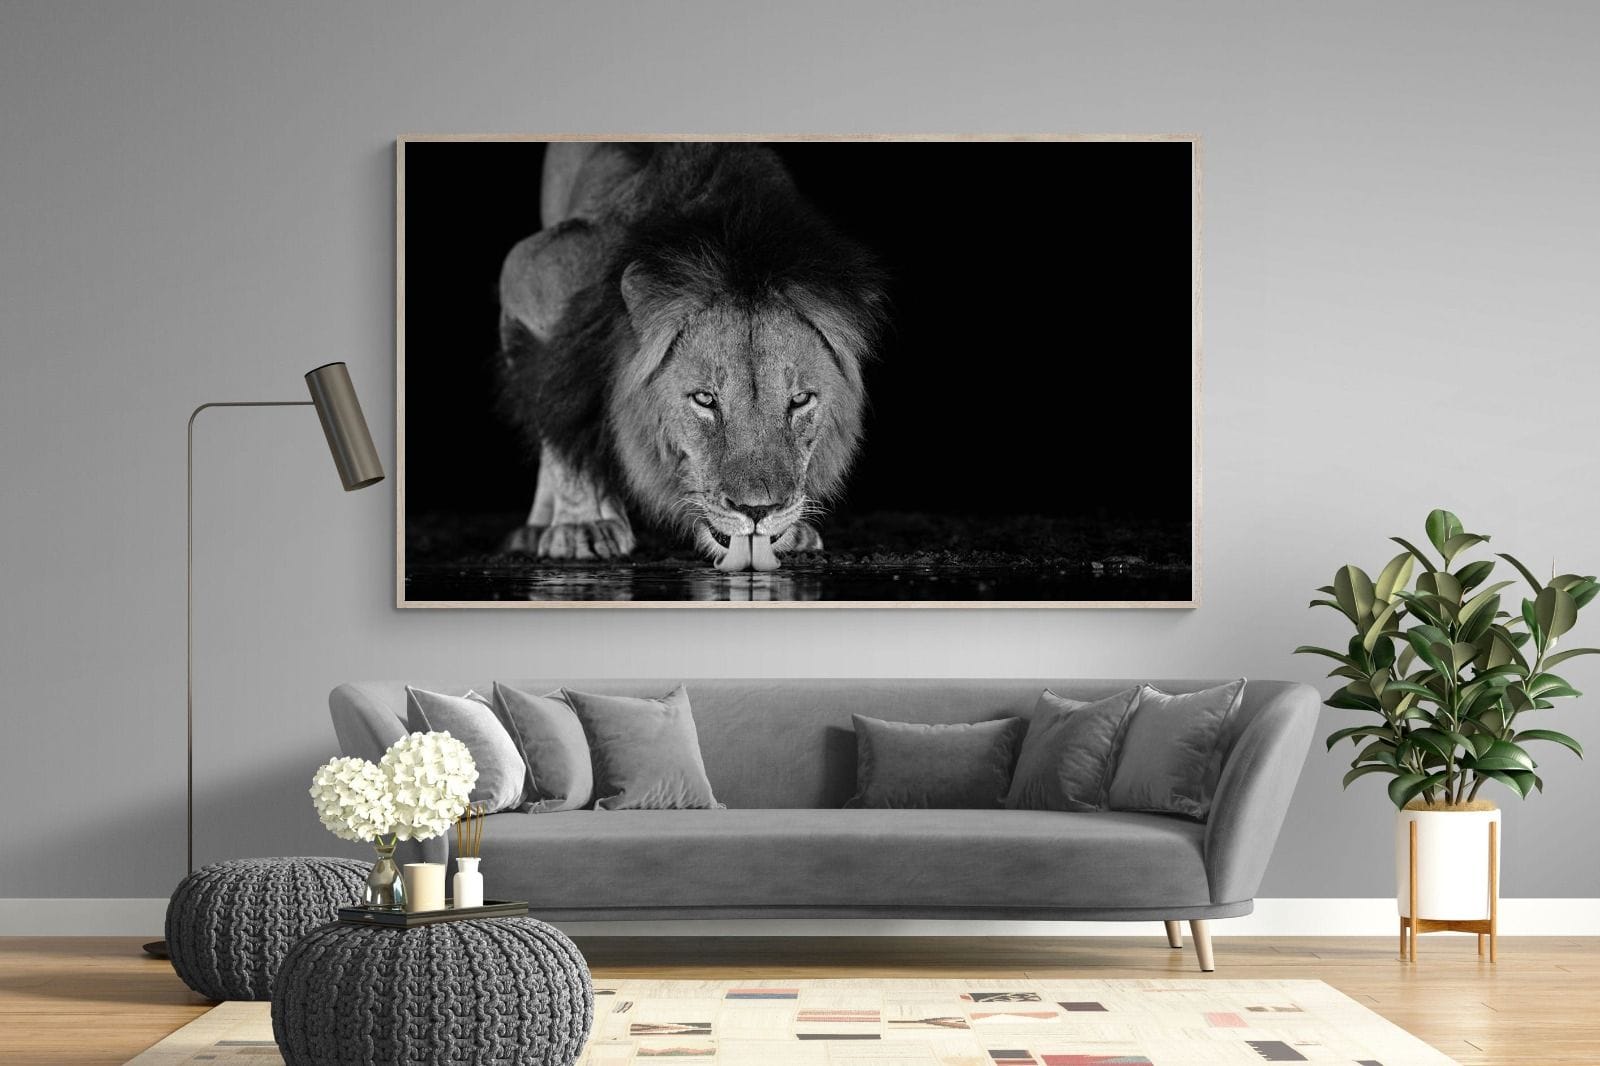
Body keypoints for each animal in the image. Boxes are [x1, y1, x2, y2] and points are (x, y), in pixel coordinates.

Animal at [494, 143, 887, 572]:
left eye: (800, 400)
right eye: (705, 399)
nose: (758, 511)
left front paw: (793, 530)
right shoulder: (532, 272)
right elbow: (561, 409)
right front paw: (582, 525)